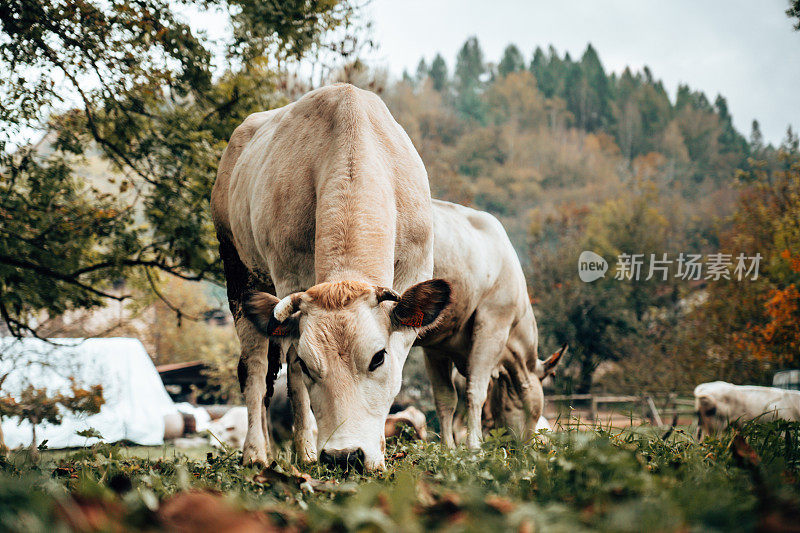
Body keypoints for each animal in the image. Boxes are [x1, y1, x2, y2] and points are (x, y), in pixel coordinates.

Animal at [211, 83, 450, 470]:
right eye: (310, 364)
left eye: (378, 357)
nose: (344, 456)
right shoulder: (290, 279)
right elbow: (294, 379)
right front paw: (306, 450)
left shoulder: (414, 272)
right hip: (238, 270)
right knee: (256, 368)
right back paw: (259, 453)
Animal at [416, 200, 564, 444]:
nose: (527, 445)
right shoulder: (493, 325)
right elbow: (476, 391)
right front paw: (474, 446)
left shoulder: (435, 346)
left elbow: (445, 399)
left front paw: (448, 447)